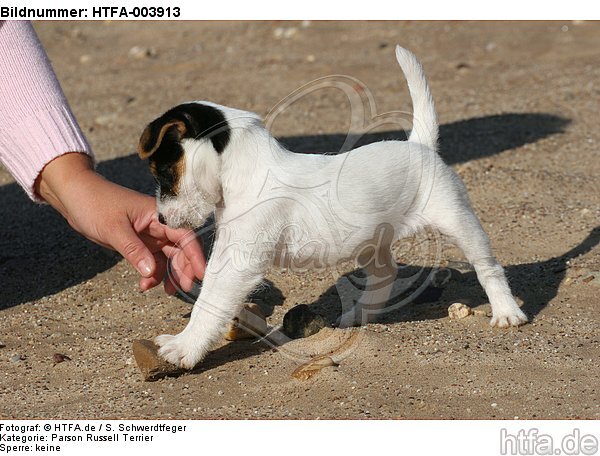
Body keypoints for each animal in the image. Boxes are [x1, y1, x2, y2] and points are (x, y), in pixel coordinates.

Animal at [138, 45, 528, 370]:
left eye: (163, 172)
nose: (160, 219)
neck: (247, 171)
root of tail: (420, 145)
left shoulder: (237, 261)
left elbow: (209, 303)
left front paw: (183, 348)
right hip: (372, 241)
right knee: (385, 274)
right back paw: (357, 315)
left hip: (458, 221)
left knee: (489, 268)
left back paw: (507, 312)